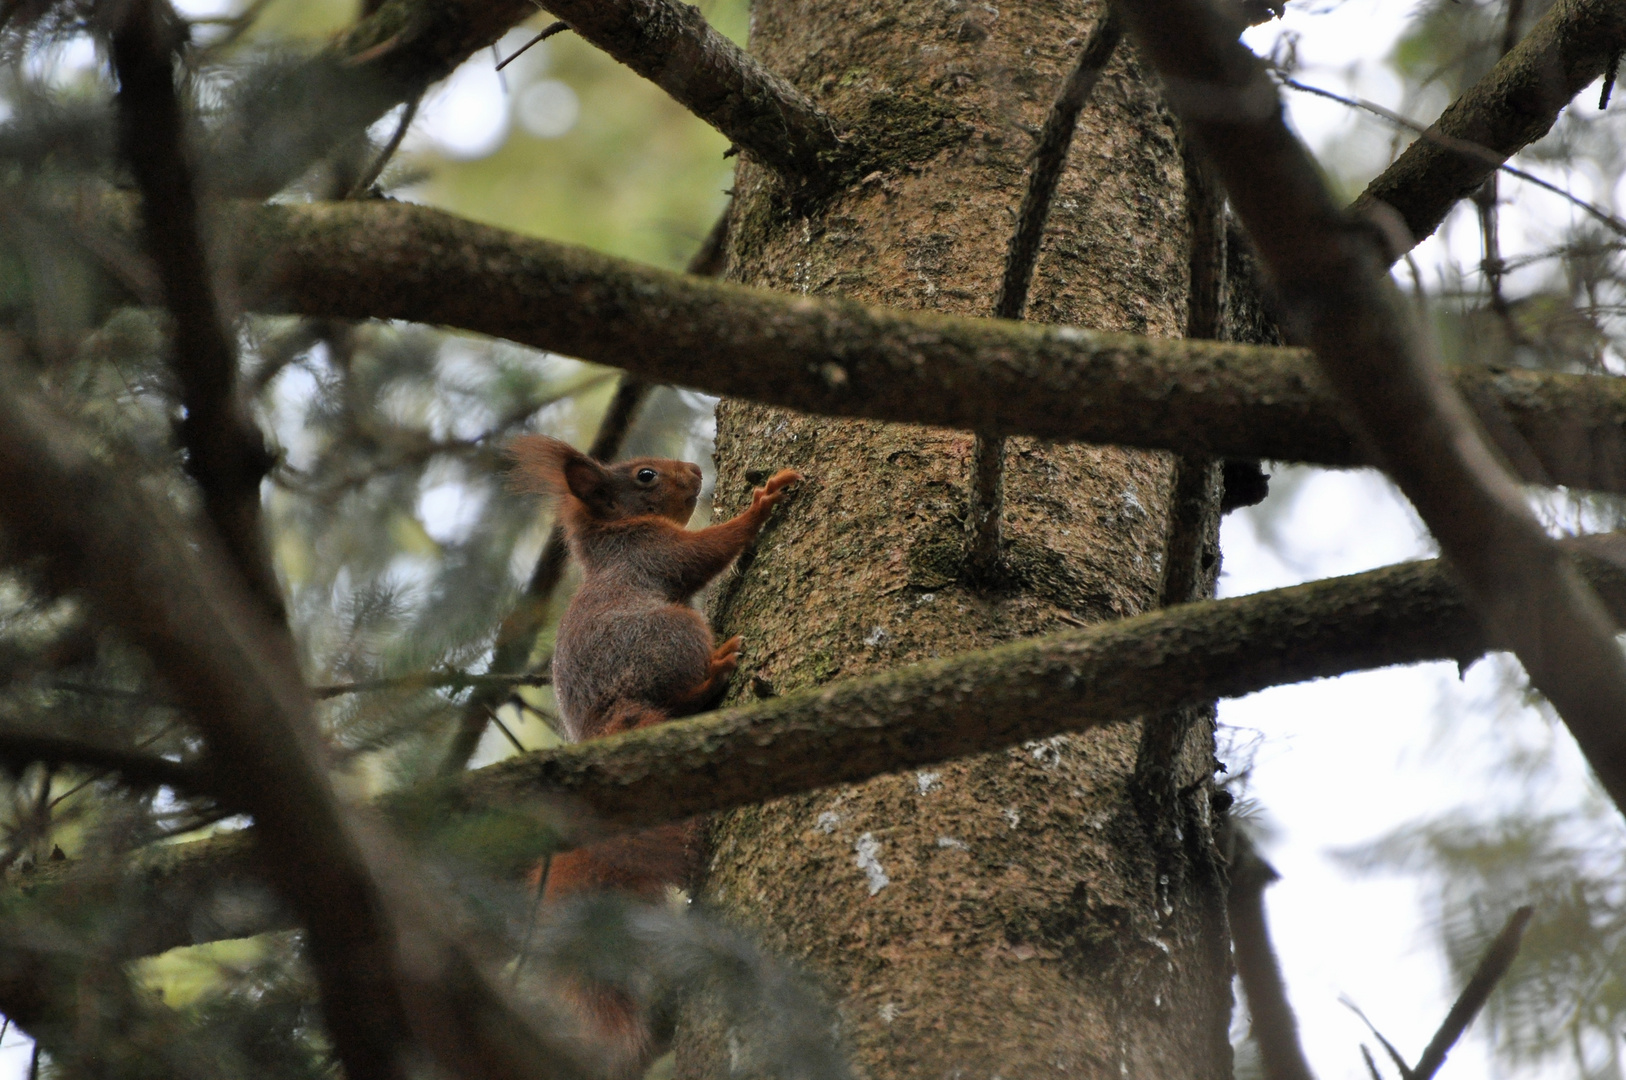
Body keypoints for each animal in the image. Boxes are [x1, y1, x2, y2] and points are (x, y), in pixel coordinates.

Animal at [500, 432, 793, 1073]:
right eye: (646, 476)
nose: (695, 471)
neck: (612, 535)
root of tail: (612, 726)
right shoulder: (651, 552)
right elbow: (706, 551)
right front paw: (762, 503)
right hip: (670, 634)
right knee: (681, 681)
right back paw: (715, 671)